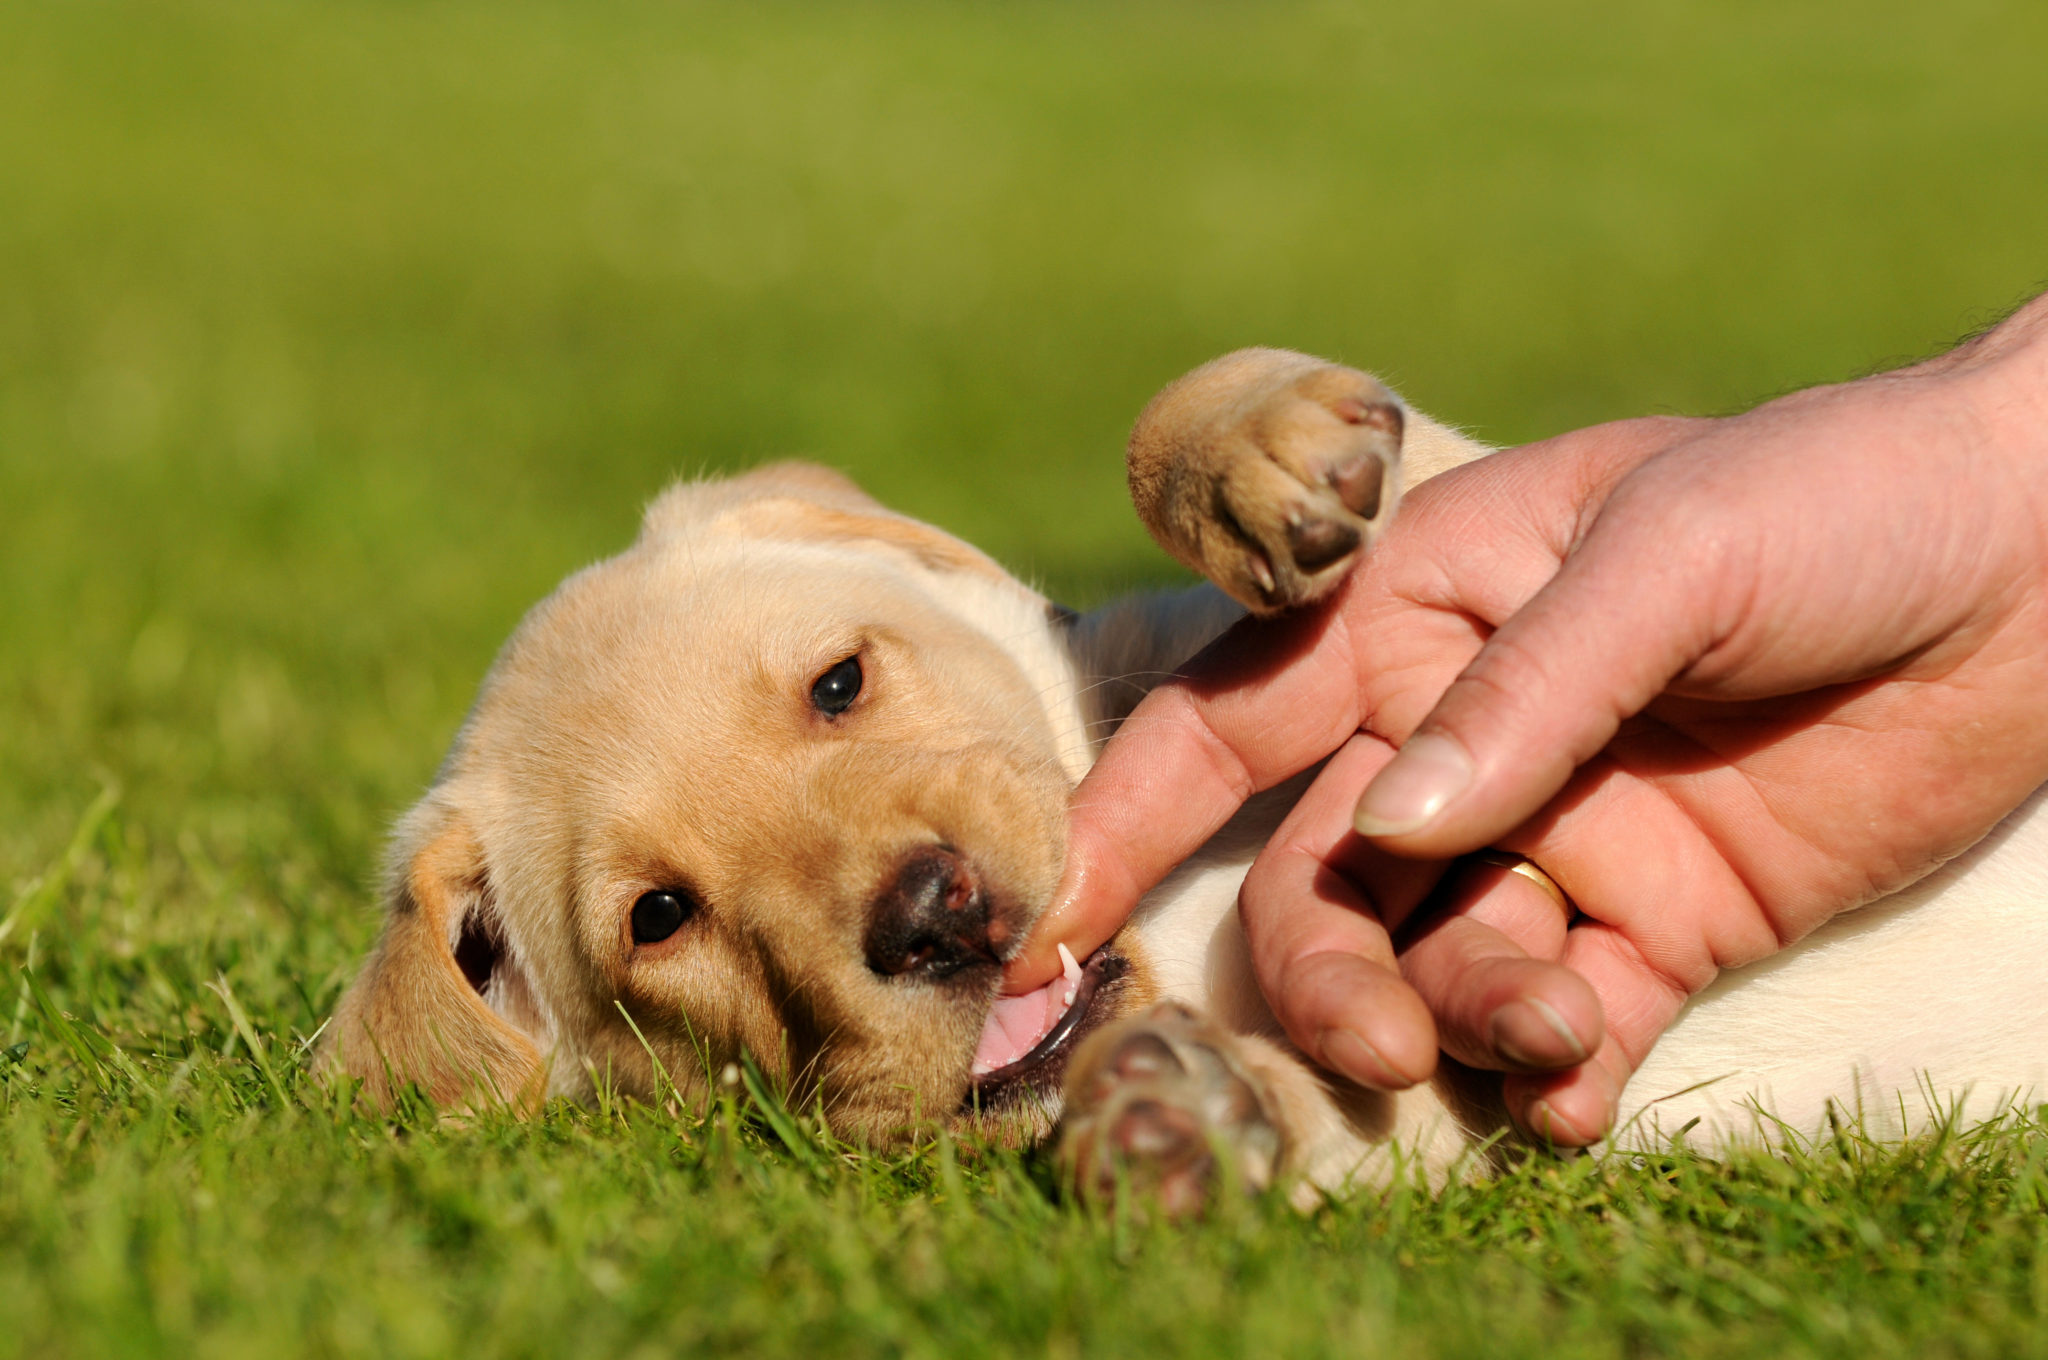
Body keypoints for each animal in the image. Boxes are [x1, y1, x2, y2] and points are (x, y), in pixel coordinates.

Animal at [323, 350, 2048, 1212]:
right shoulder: (1468, 1117)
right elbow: (1342, 1119)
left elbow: (1259, 430)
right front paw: (1181, 1124)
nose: (930, 917)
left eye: (841, 684)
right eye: (661, 920)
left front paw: (1261, 453)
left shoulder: (1481, 545)